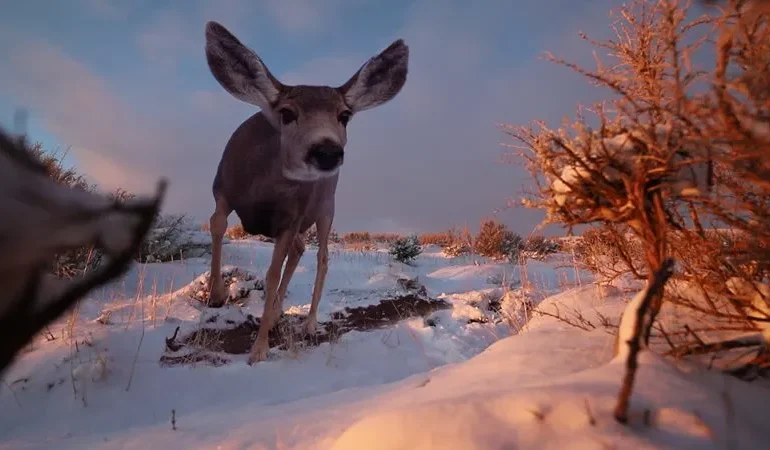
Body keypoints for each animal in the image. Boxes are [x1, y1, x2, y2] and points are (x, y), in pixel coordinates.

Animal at [202, 22, 408, 366]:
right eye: (286, 113)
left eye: (345, 115)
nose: (327, 151)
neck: (261, 190)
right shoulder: (222, 188)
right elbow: (216, 224)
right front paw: (216, 295)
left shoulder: (292, 216)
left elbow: (273, 273)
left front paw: (258, 350)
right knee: (299, 250)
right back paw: (275, 312)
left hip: (327, 208)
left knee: (322, 257)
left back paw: (308, 323)